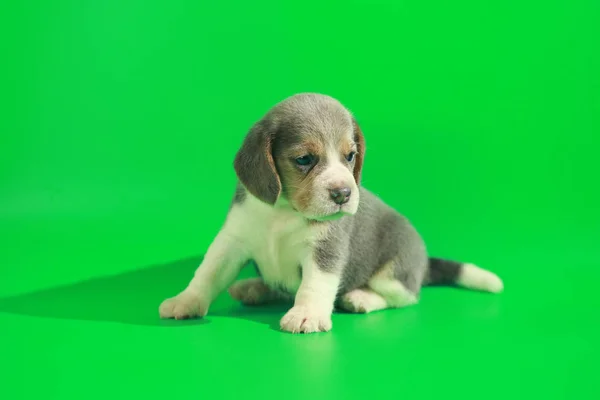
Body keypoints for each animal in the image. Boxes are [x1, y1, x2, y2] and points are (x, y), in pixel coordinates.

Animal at [158, 92, 502, 332]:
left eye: (350, 156)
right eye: (304, 159)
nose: (343, 194)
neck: (284, 211)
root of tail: (424, 262)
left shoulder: (325, 250)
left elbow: (315, 284)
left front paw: (307, 314)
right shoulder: (232, 241)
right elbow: (207, 273)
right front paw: (186, 300)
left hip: (393, 272)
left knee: (404, 296)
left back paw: (361, 298)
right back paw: (254, 287)